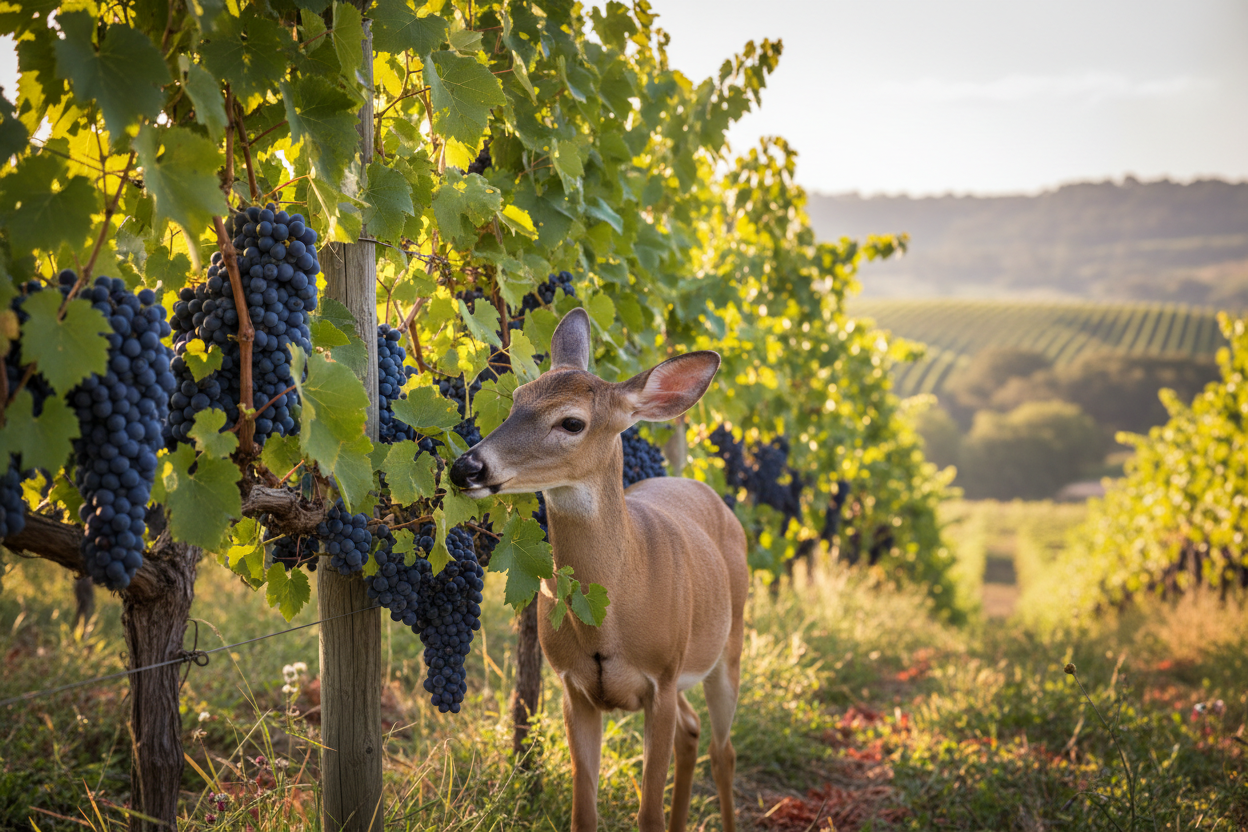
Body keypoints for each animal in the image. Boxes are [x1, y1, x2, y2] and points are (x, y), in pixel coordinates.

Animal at [450, 308, 749, 832]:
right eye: (516, 399)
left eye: (572, 422)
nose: (465, 468)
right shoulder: (574, 690)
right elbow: (582, 812)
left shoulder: (661, 678)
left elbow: (647, 814)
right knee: (693, 732)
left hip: (727, 649)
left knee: (723, 749)